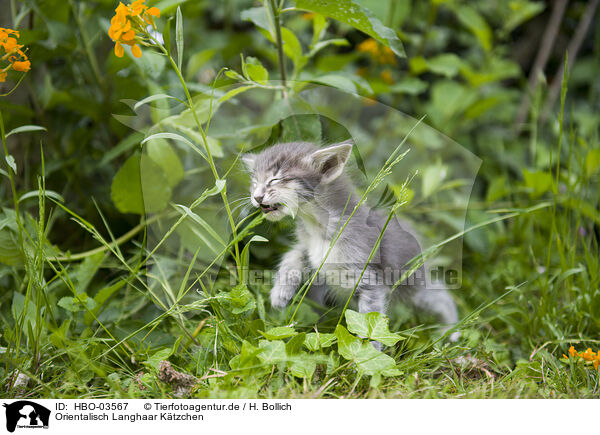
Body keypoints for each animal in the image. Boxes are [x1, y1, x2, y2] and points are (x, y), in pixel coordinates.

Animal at [244, 141, 460, 346]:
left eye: (275, 179)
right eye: (254, 182)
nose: (256, 197)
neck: (318, 226)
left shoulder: (368, 278)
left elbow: (370, 320)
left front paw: (368, 351)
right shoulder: (310, 250)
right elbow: (292, 255)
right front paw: (280, 293)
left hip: (411, 283)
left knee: (440, 295)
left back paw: (451, 331)